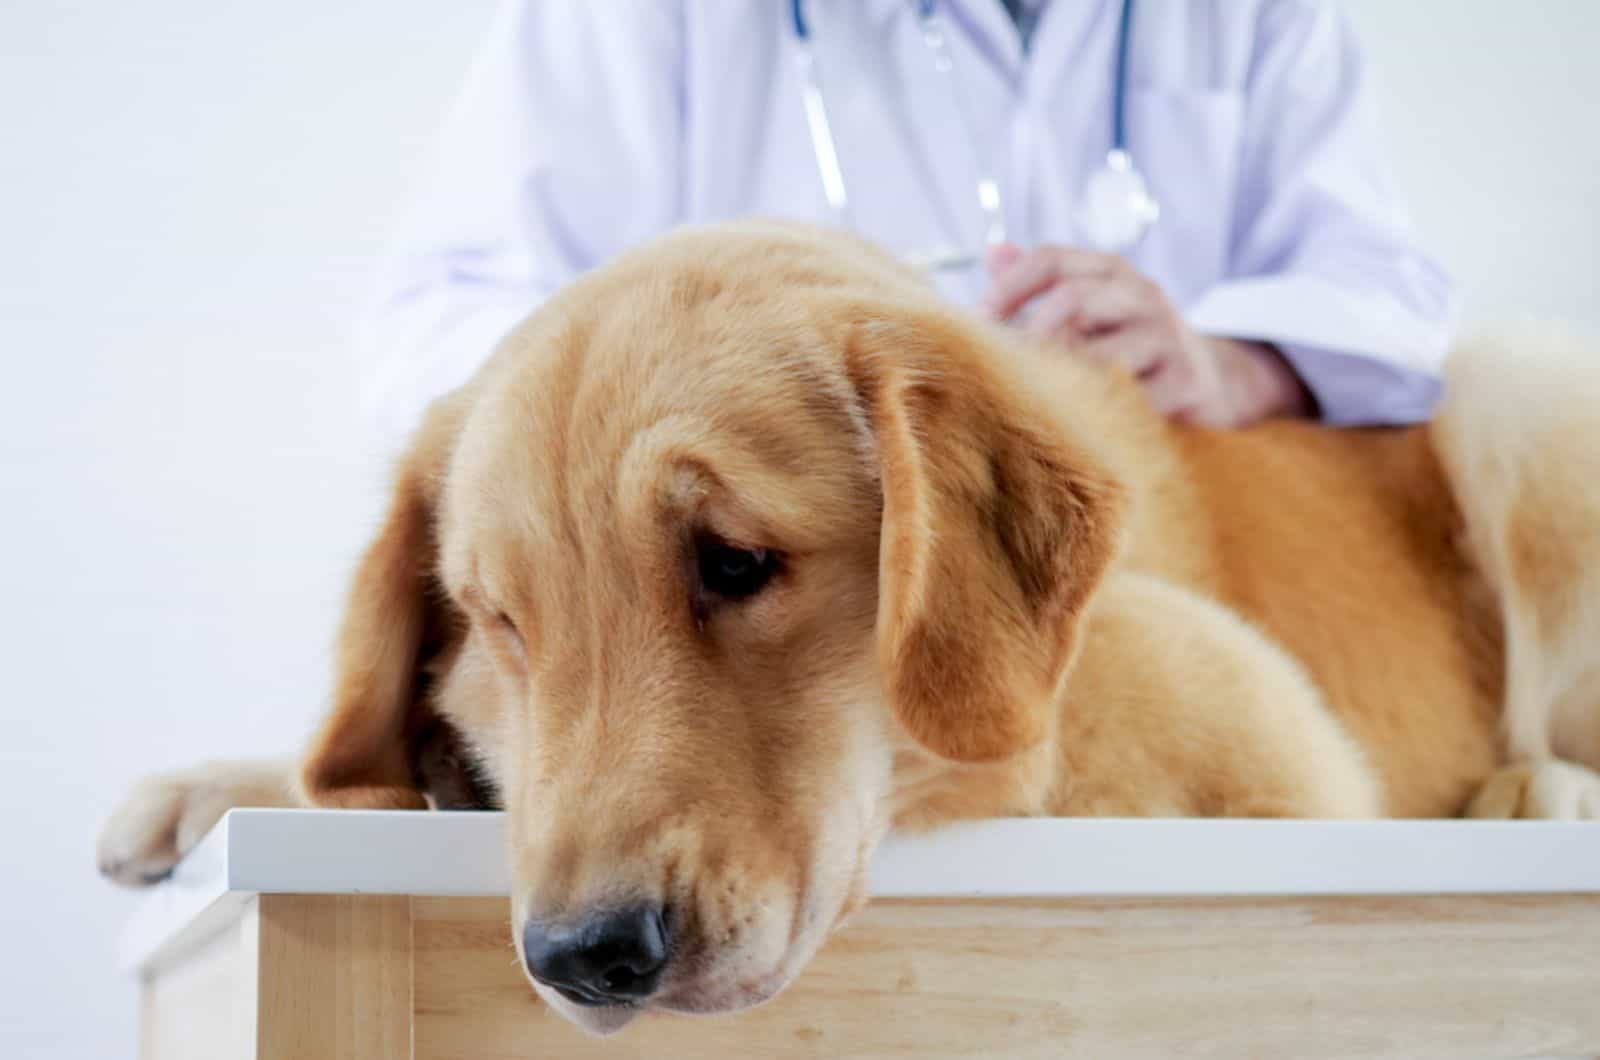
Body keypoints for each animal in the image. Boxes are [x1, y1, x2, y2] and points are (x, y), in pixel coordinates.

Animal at [100, 219, 1600, 1031]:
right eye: (502, 621)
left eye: (733, 561)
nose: (581, 956)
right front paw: (228, 781)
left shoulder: (1238, 710)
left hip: (1515, 393)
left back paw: (1541, 790)